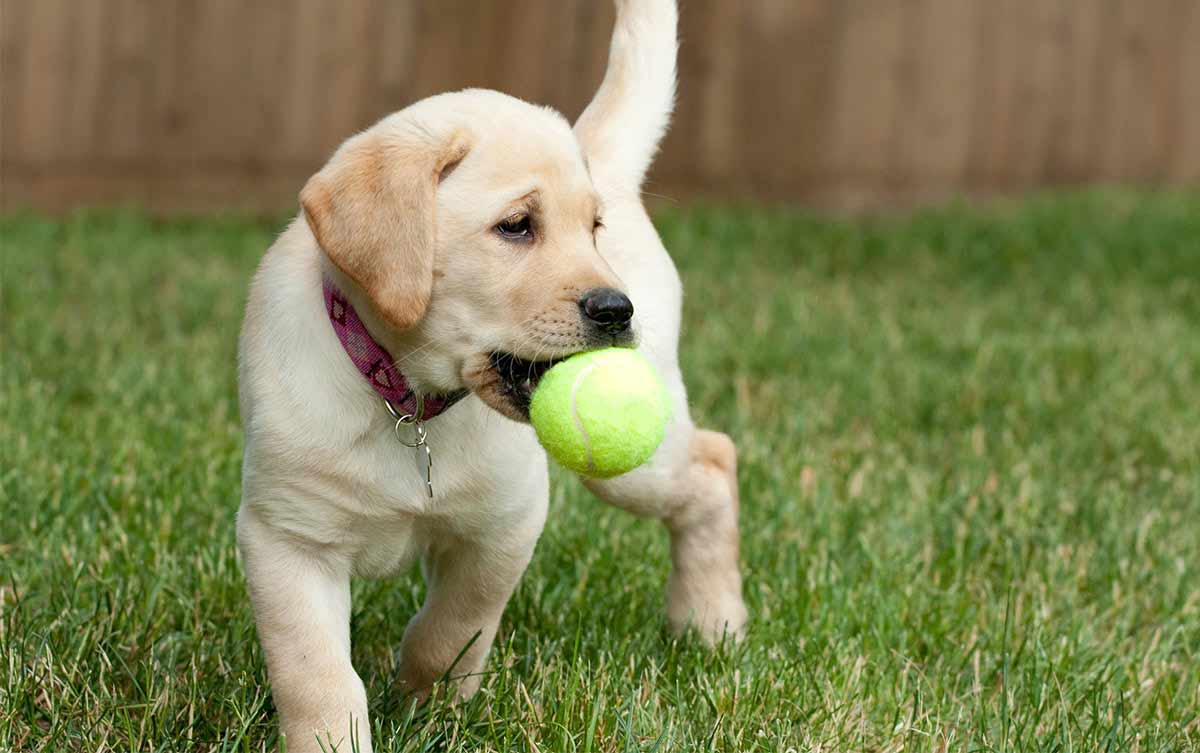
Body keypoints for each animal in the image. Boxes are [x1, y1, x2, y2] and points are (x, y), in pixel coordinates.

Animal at [237, 2, 744, 748]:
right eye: (516, 226)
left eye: (593, 229)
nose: (617, 310)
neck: (410, 401)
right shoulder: (288, 538)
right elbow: (315, 674)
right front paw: (339, 733)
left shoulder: (505, 525)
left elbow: (453, 629)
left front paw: (429, 701)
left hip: (633, 466)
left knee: (713, 463)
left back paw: (710, 620)